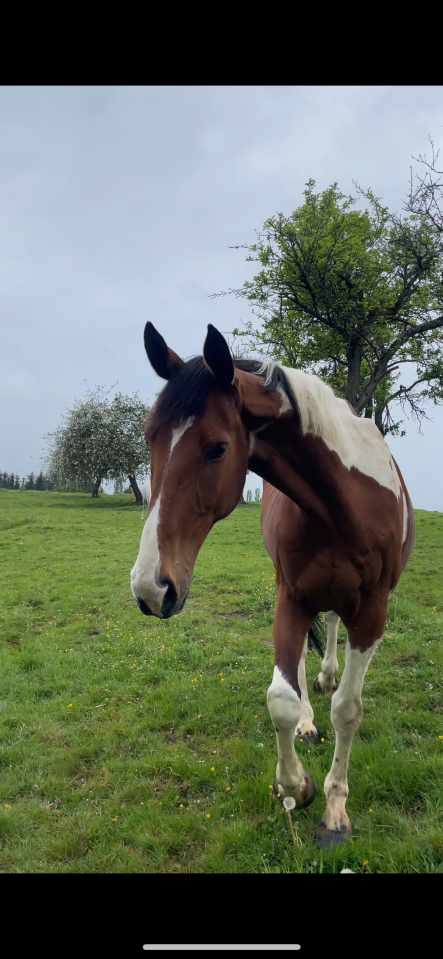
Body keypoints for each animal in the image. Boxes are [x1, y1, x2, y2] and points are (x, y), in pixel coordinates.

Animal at [130, 321, 415, 847]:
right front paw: (296, 785)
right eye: (148, 437)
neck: (343, 505)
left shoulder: (372, 612)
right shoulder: (291, 596)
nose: (150, 589)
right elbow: (281, 698)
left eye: (218, 447)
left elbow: (348, 709)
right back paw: (308, 717)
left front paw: (335, 811)